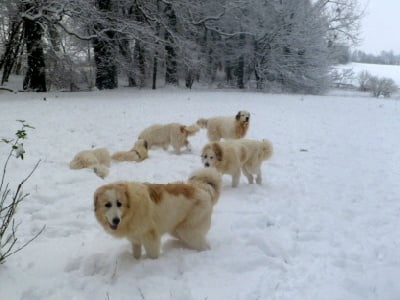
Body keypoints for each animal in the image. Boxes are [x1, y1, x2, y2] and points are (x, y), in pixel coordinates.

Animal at [95, 168, 223, 258]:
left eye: (119, 203)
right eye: (107, 205)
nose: (116, 220)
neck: (131, 208)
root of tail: (202, 189)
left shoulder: (150, 237)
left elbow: (152, 255)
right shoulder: (135, 240)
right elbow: (136, 254)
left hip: (188, 231)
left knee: (205, 246)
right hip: (176, 230)